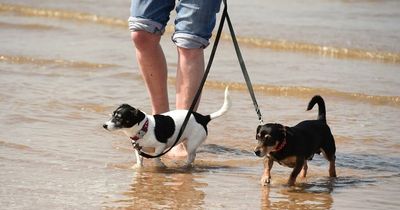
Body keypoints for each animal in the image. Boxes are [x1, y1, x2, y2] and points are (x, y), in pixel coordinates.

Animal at [102, 88, 231, 168]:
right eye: (112, 115)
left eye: (119, 118)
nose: (104, 125)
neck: (144, 129)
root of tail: (203, 118)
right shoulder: (138, 149)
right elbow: (139, 160)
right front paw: (137, 167)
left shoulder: (160, 146)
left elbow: (155, 158)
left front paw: (161, 165)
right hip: (186, 141)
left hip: (192, 143)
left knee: (192, 156)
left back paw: (185, 166)